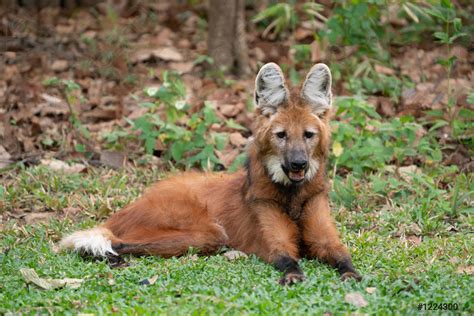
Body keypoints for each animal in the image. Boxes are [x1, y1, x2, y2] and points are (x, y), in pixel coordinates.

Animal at [61, 63, 362, 286]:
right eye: (282, 136)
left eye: (308, 135)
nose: (299, 164)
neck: (292, 195)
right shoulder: (272, 238)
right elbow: (285, 255)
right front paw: (293, 275)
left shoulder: (323, 233)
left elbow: (341, 253)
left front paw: (350, 273)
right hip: (208, 232)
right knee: (114, 241)